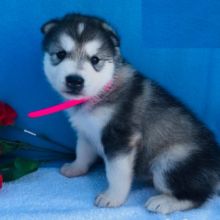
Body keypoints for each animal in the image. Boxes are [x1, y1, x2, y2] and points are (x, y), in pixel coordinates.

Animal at [40, 13, 220, 213]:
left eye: (95, 60)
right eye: (60, 54)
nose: (74, 80)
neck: (102, 91)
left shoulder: (120, 137)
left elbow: (116, 172)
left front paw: (112, 198)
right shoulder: (86, 131)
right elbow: (83, 152)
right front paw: (75, 168)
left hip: (171, 161)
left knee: (198, 196)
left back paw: (165, 201)